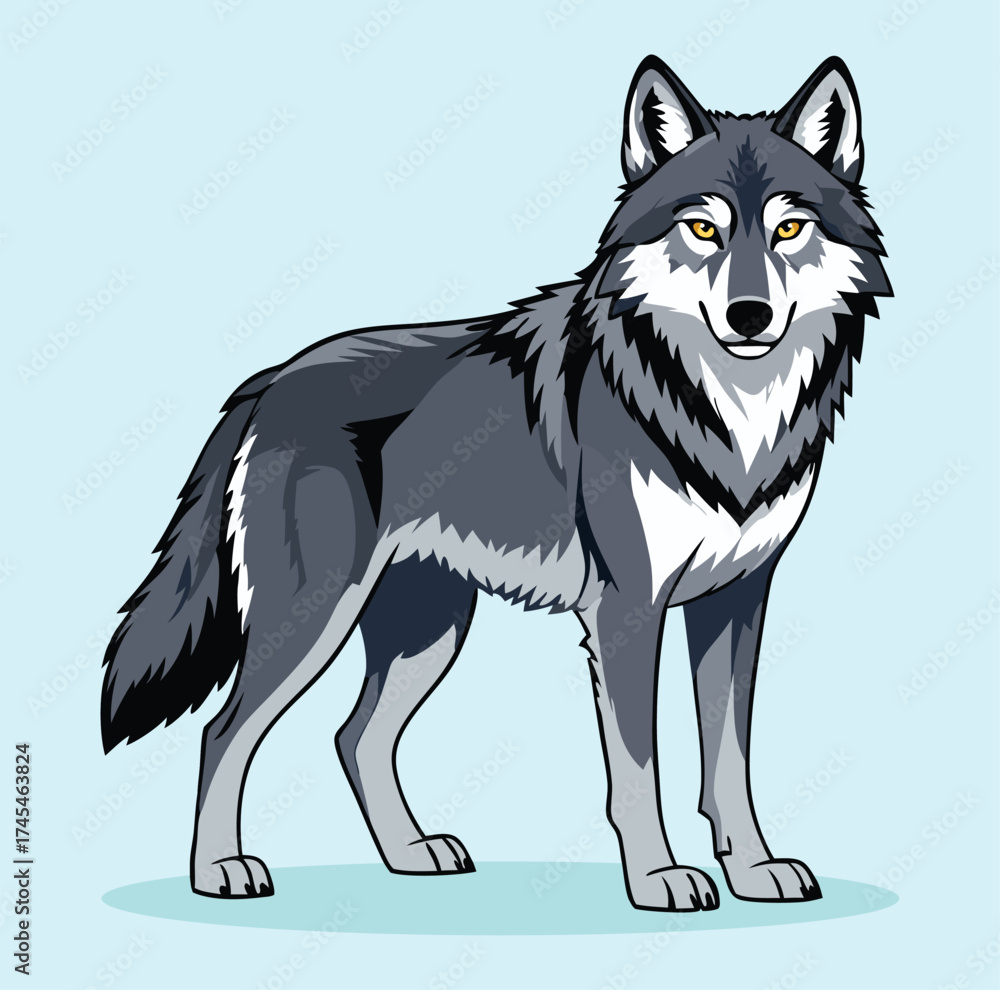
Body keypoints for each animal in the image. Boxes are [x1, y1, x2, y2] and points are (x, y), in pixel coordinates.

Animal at [101, 55, 890, 911]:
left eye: (789, 229)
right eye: (703, 228)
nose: (750, 315)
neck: (726, 409)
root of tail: (269, 379)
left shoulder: (737, 600)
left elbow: (730, 758)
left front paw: (751, 868)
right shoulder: (628, 611)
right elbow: (638, 767)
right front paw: (657, 878)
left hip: (429, 630)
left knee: (355, 737)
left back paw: (410, 854)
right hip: (315, 620)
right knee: (225, 731)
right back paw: (220, 870)